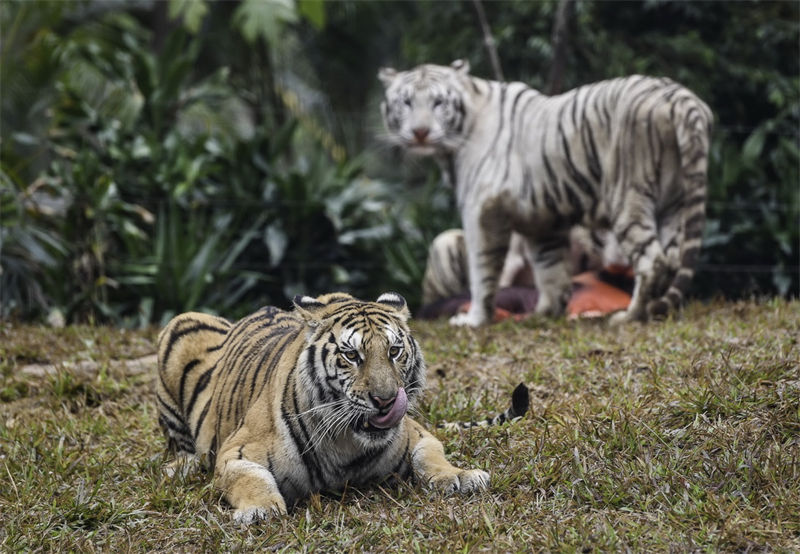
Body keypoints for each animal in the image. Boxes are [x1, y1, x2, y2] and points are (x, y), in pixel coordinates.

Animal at [156, 292, 526, 525]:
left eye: (393, 351)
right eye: (351, 355)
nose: (386, 400)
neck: (347, 443)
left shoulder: (418, 434)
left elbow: (431, 458)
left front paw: (462, 477)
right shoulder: (237, 451)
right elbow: (250, 478)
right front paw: (260, 510)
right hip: (178, 327)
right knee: (181, 445)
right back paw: (179, 467)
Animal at [379, 60, 713, 325]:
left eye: (438, 103)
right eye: (406, 102)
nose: (420, 132)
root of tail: (680, 97)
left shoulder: (481, 210)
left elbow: (483, 271)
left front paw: (475, 320)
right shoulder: (542, 221)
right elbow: (551, 271)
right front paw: (544, 314)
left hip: (629, 195)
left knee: (653, 261)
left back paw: (631, 316)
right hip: (673, 202)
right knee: (672, 258)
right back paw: (661, 311)